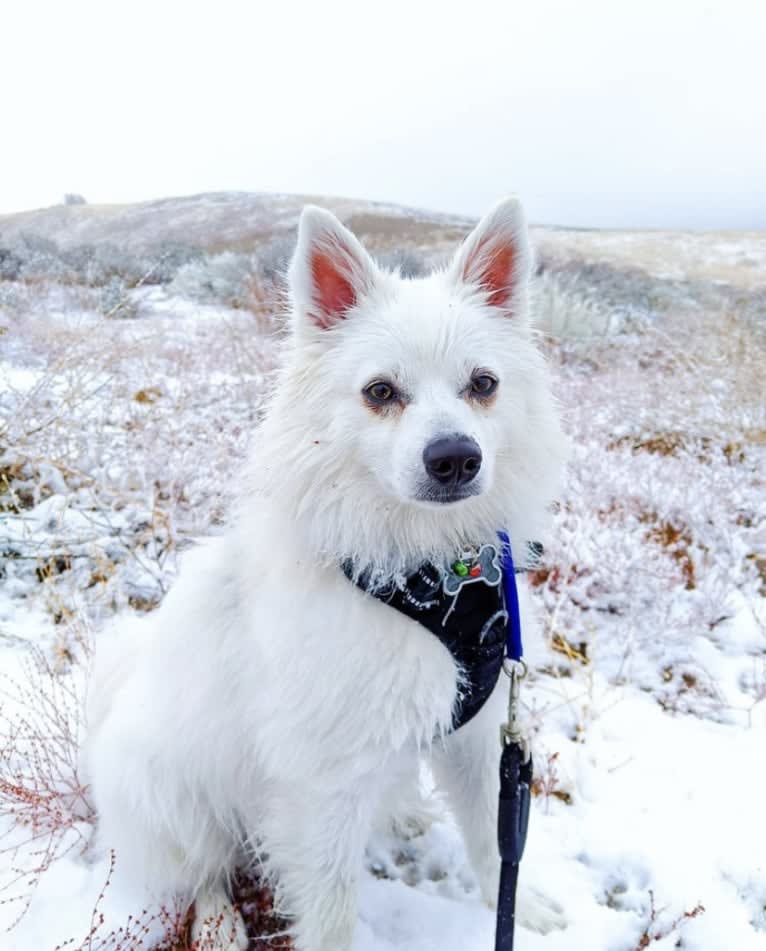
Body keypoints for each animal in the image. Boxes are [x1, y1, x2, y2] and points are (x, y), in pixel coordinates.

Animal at [85, 197, 564, 948]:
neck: (435, 575)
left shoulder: (481, 734)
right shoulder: (323, 782)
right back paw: (218, 922)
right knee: (204, 870)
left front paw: (521, 909)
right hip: (180, 801)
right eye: (380, 392)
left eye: (483, 385)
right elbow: (333, 904)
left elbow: (495, 838)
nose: (455, 457)